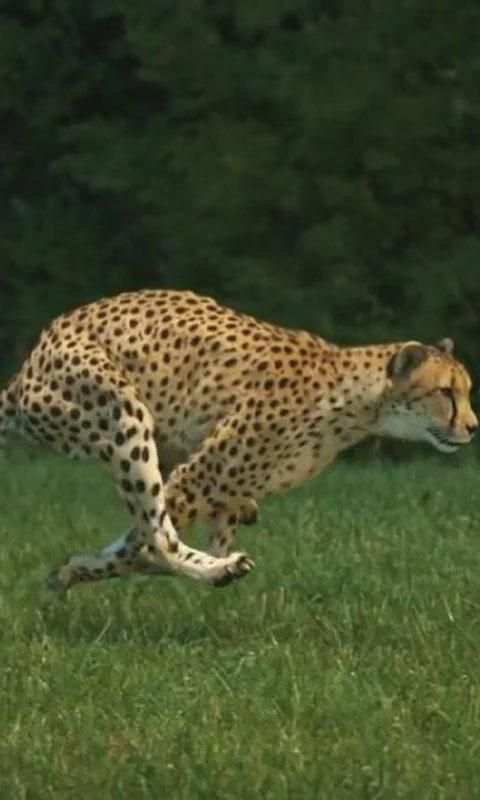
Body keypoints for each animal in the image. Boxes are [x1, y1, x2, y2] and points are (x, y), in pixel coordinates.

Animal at [0, 289, 477, 592]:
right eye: (446, 392)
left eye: (465, 390)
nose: (473, 427)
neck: (358, 402)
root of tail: (29, 364)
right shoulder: (195, 479)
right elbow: (143, 545)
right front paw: (77, 570)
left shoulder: (216, 492)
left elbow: (140, 545)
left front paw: (71, 571)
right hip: (124, 416)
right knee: (159, 538)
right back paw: (216, 571)